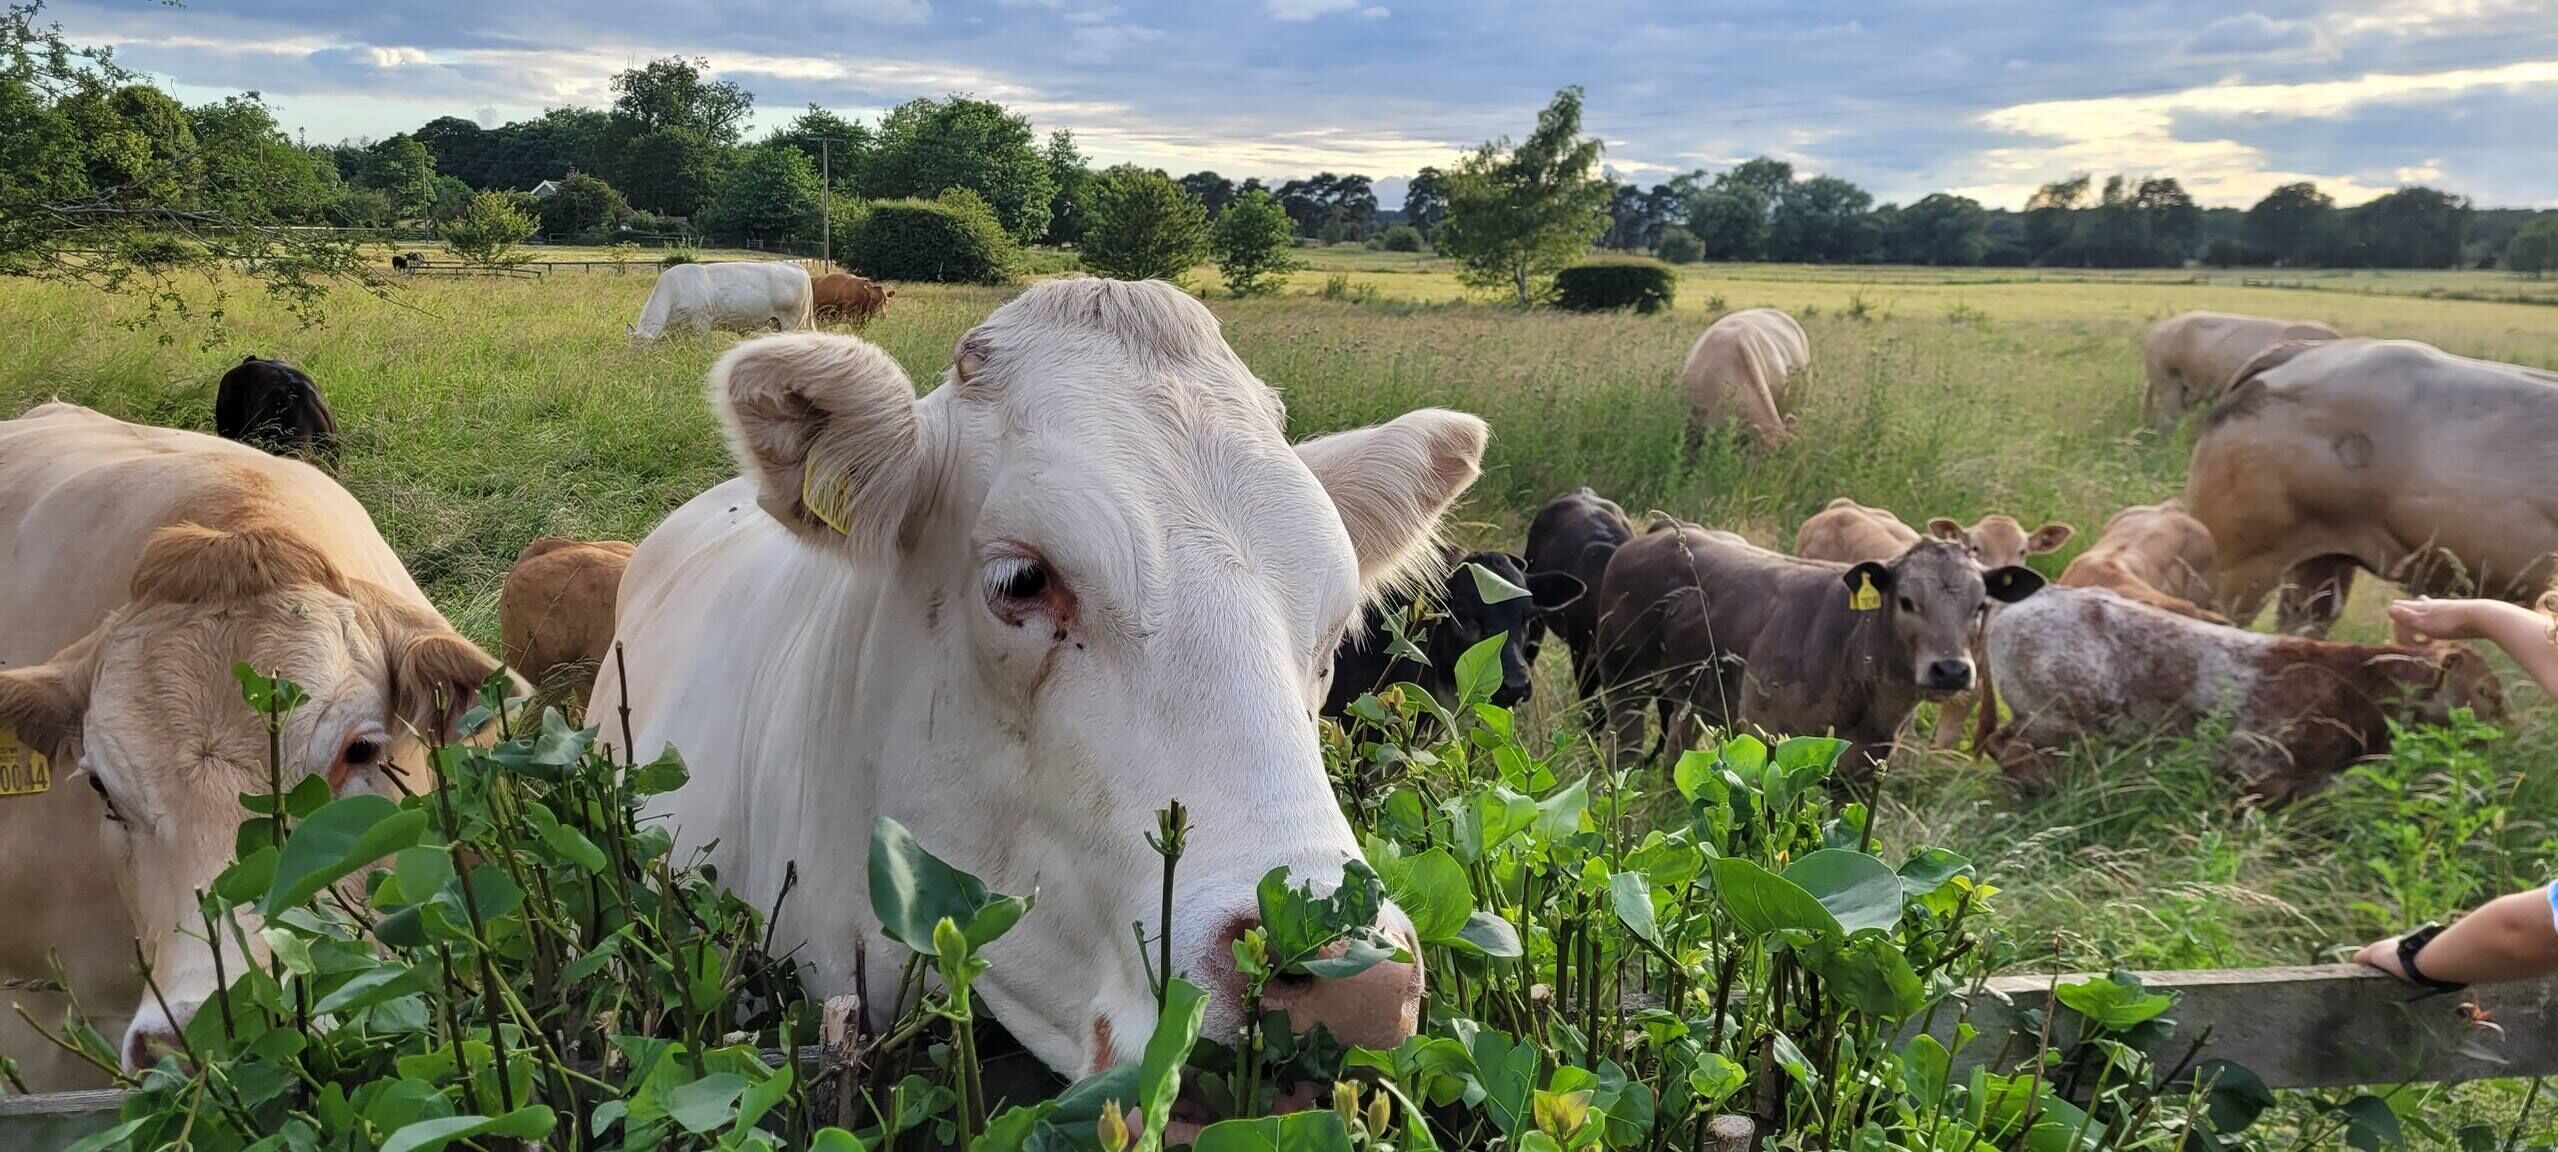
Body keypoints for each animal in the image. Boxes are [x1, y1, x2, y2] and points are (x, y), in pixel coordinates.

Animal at [1591, 523, 2043, 772]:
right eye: (1907, 601)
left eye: (1980, 605)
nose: (1950, 669)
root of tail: (1661, 532)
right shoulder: (1766, 739)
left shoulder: (1863, 772)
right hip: (1625, 679)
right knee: (1625, 745)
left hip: (1700, 697)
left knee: (1677, 750)